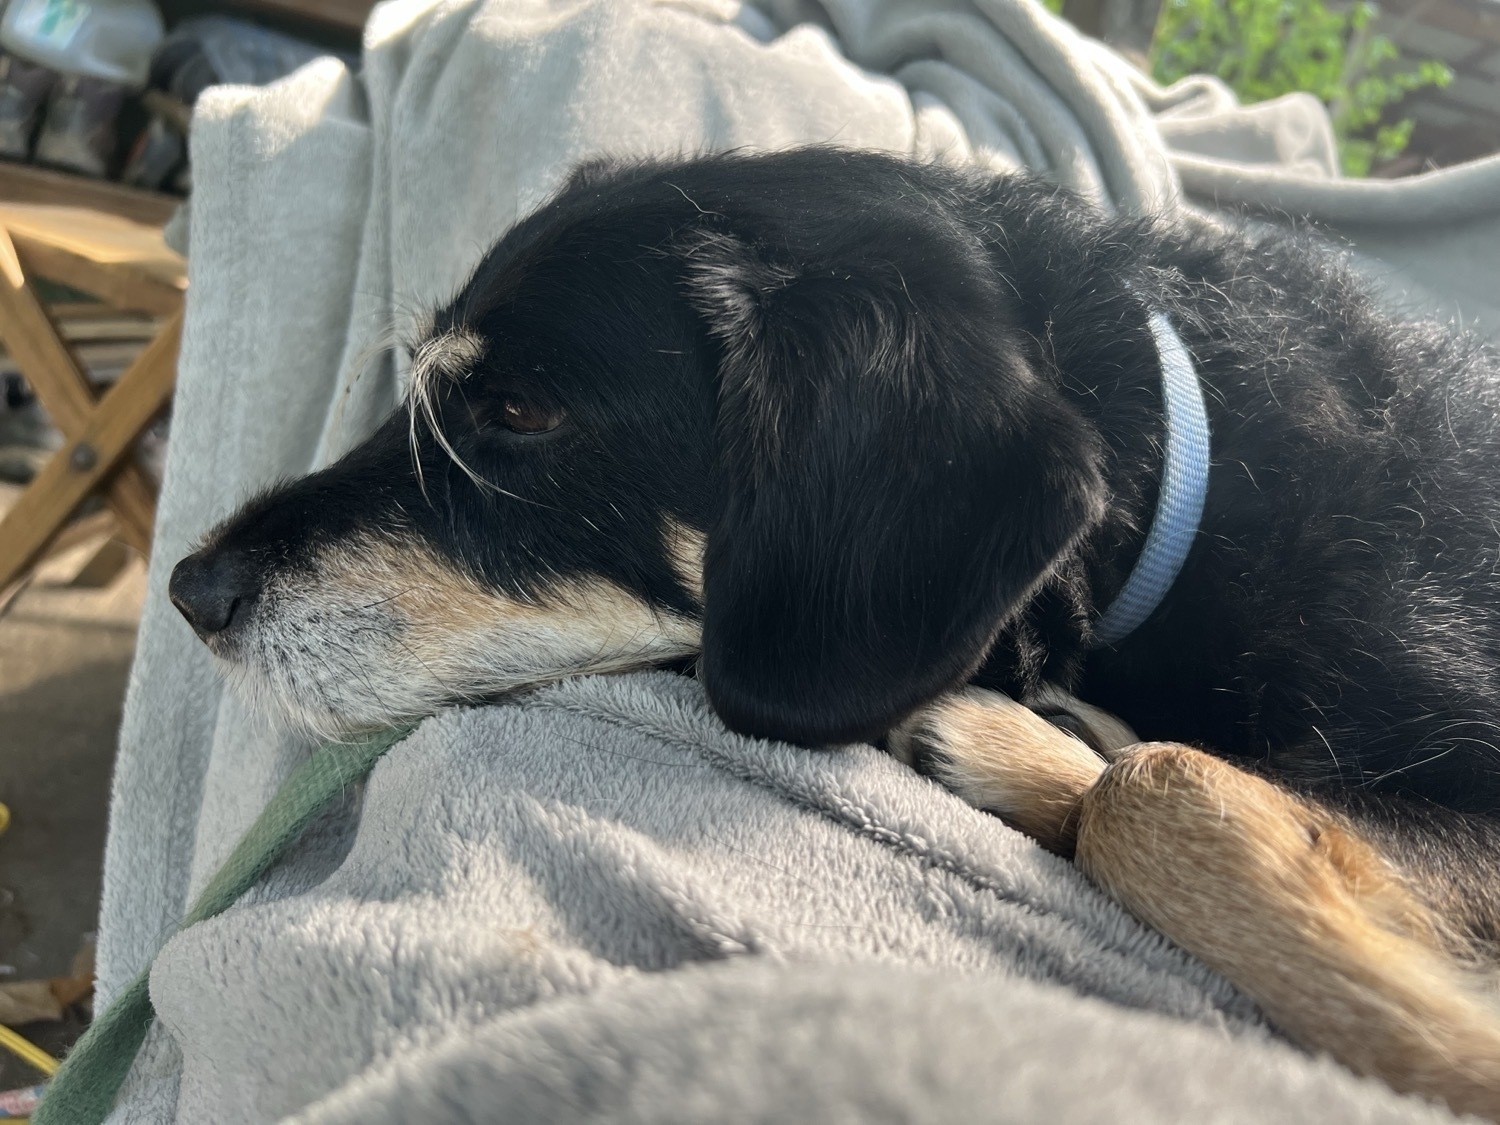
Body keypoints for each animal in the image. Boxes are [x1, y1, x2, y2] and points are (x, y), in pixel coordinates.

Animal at [170, 150, 1500, 1122]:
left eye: (523, 411)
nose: (190, 590)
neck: (1200, 465)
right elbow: (1151, 781)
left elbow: (1159, 791)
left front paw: (1447, 1050)